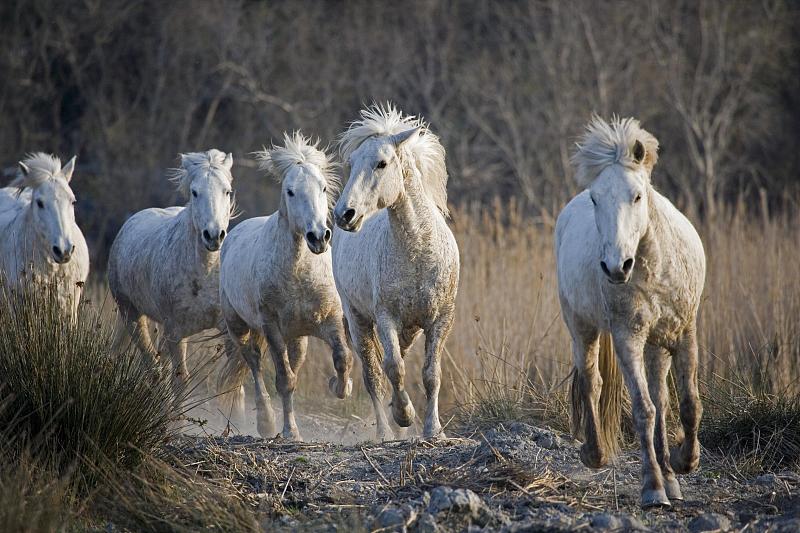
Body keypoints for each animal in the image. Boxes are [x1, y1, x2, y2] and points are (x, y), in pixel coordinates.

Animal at [108, 150, 236, 408]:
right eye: (195, 192)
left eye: (227, 191)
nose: (213, 236)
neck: (205, 273)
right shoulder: (176, 332)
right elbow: (181, 381)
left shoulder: (226, 331)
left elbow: (234, 385)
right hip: (132, 315)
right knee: (153, 367)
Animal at [220, 133, 354, 440]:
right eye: (290, 191)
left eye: (323, 187)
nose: (318, 237)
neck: (298, 275)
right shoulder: (272, 328)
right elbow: (285, 380)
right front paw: (290, 432)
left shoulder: (329, 321)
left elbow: (342, 358)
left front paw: (340, 386)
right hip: (239, 326)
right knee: (254, 363)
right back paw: (266, 422)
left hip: (298, 338)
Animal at [332, 104, 456, 440]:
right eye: (351, 164)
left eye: (382, 163)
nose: (343, 214)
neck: (418, 252)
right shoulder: (385, 316)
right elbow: (394, 368)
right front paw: (404, 415)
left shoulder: (441, 319)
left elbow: (431, 373)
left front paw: (433, 430)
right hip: (358, 320)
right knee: (373, 373)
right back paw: (386, 432)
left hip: (409, 328)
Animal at [556, 115, 708, 508]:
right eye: (596, 199)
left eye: (636, 195)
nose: (615, 267)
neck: (654, 268)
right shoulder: (628, 338)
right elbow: (643, 410)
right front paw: (652, 488)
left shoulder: (686, 333)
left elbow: (688, 403)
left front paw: (684, 463)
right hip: (582, 328)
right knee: (592, 383)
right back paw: (594, 454)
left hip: (657, 345)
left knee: (663, 399)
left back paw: (671, 476)